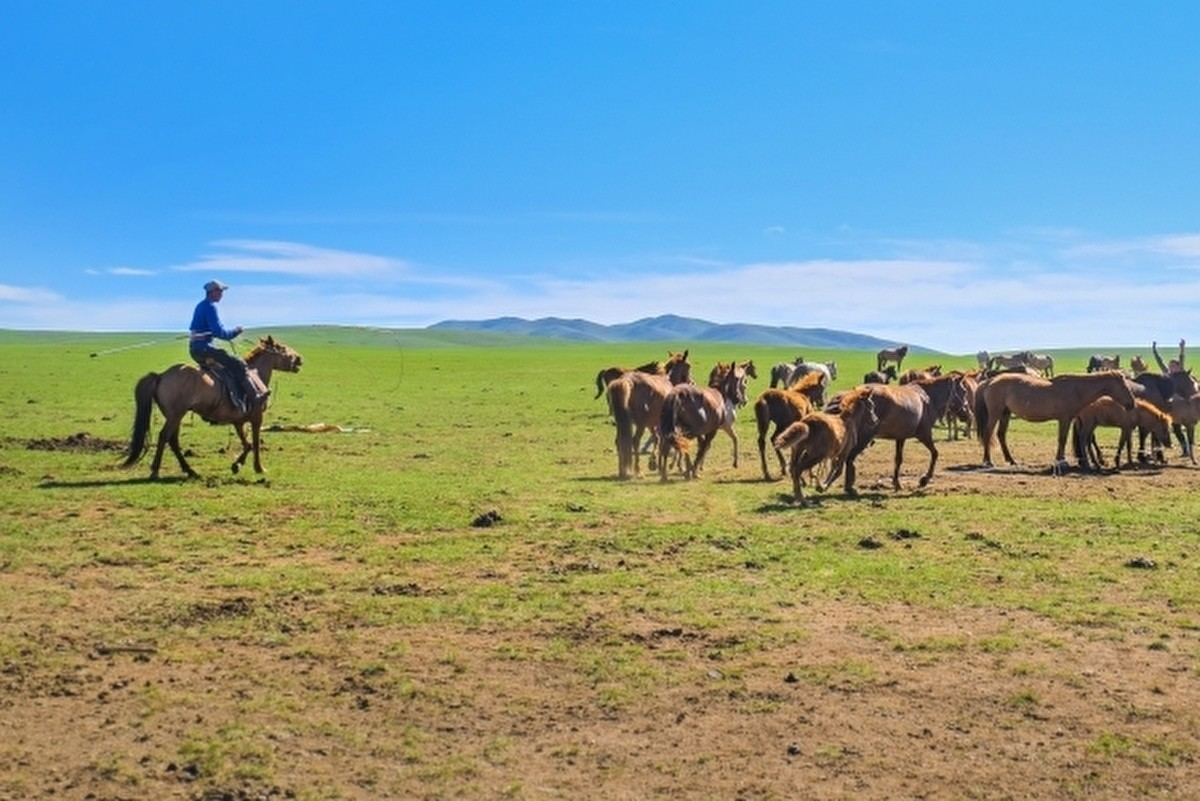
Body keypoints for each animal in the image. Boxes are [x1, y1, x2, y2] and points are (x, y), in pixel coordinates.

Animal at [121, 335, 304, 479]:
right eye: (281, 348)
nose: (299, 358)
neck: (254, 376)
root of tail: (161, 376)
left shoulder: (238, 421)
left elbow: (247, 444)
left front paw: (236, 465)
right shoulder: (257, 418)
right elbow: (255, 443)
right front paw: (259, 468)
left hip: (175, 416)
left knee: (173, 440)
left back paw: (190, 470)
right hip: (175, 415)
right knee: (164, 437)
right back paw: (156, 471)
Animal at [974, 371, 1132, 470]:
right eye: (1124, 386)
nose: (1131, 403)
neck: (1076, 389)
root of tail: (989, 381)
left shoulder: (1067, 420)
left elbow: (1063, 440)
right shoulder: (1064, 419)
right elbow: (1062, 440)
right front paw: (1061, 461)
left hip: (1005, 414)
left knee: (1001, 435)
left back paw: (1011, 460)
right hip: (995, 413)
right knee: (988, 434)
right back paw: (988, 461)